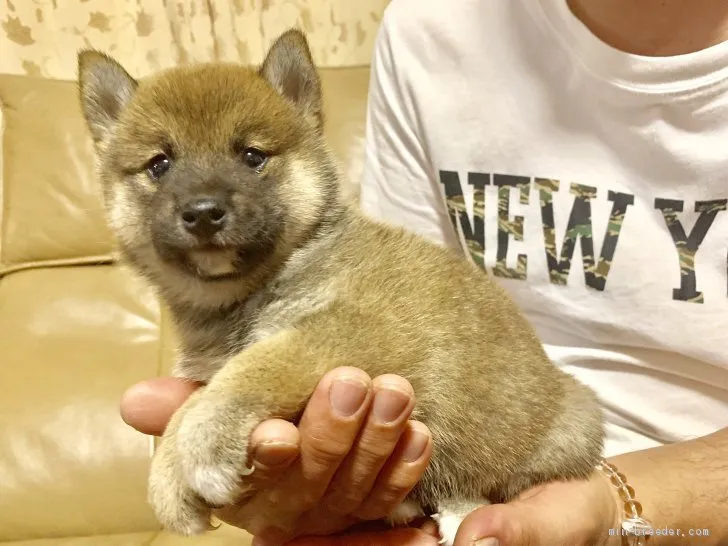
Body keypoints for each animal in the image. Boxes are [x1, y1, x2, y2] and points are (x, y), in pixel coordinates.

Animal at [77, 28, 604, 540]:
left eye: (251, 156)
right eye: (159, 164)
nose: (203, 211)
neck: (250, 292)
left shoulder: (347, 330)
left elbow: (248, 372)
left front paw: (198, 447)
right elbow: (193, 402)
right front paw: (170, 473)